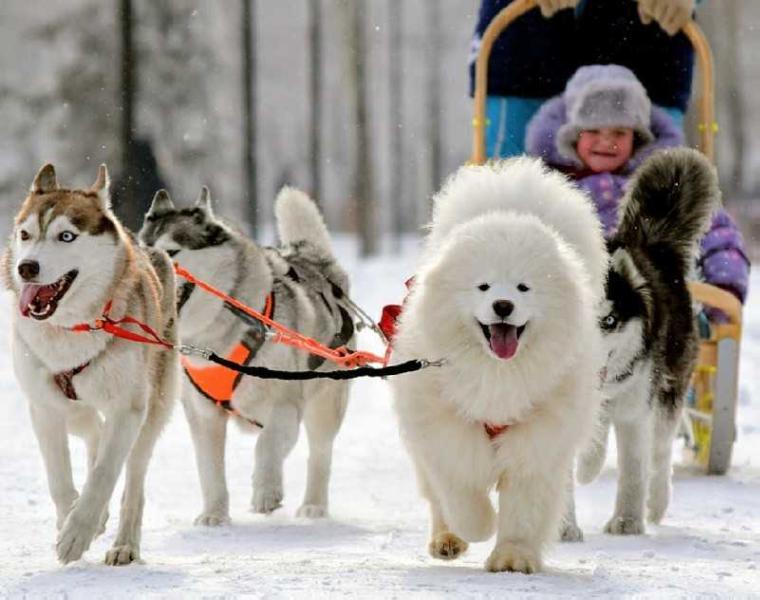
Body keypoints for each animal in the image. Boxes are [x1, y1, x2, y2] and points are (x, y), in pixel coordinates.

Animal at [388, 158, 608, 572]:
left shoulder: (537, 439)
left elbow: (524, 509)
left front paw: (513, 558)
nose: (503, 305)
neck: (497, 375)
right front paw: (479, 526)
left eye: (523, 287)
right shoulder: (446, 428)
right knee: (436, 498)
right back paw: (447, 541)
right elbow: (460, 493)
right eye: (484, 287)